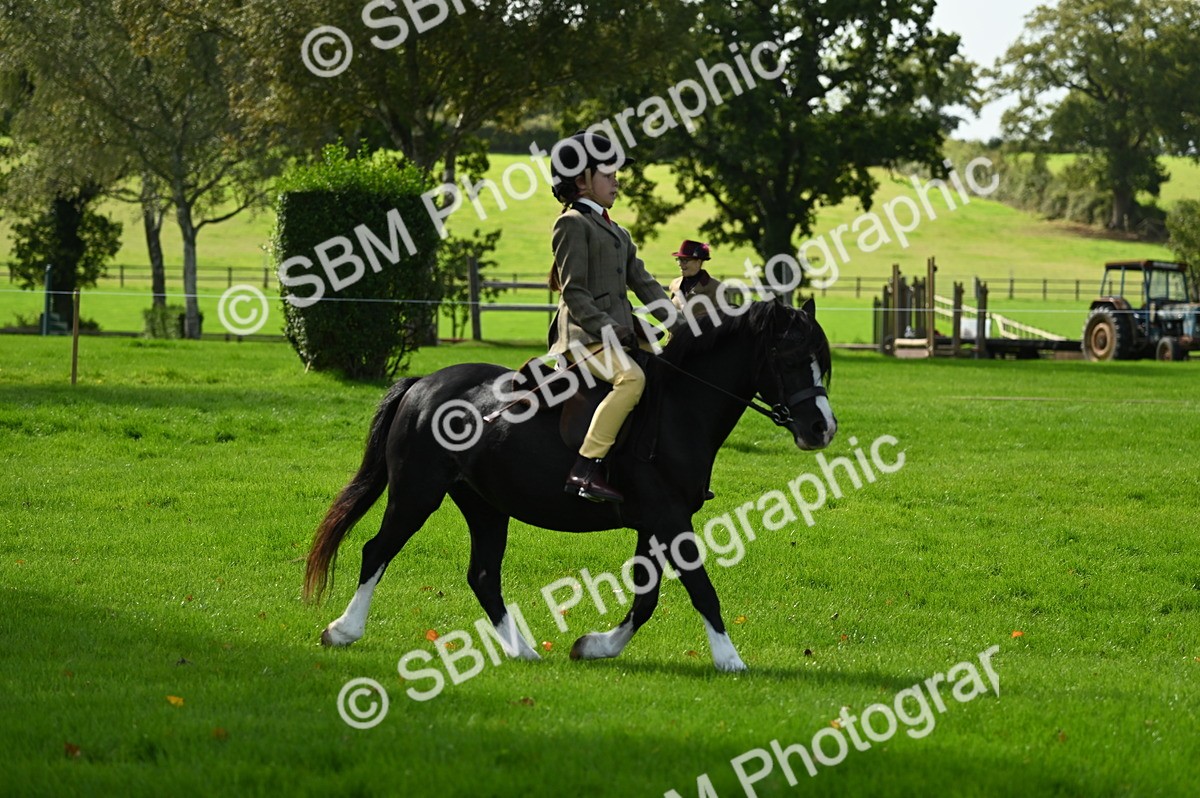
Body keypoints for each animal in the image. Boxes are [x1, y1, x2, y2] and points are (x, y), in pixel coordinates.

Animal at [303, 298, 836, 672]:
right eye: (789, 359)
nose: (822, 428)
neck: (679, 408)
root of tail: (422, 384)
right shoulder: (668, 518)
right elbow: (700, 588)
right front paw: (730, 660)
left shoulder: (655, 521)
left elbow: (645, 598)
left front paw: (595, 646)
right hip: (417, 493)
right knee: (377, 550)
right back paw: (343, 630)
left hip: (485, 506)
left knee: (483, 576)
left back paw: (522, 650)